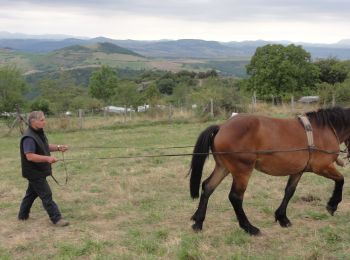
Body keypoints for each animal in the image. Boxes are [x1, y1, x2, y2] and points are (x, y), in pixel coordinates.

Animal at [189, 106, 350, 236]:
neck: (324, 130)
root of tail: (221, 127)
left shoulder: (297, 170)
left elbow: (289, 192)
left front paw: (282, 217)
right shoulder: (322, 167)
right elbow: (341, 179)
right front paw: (332, 205)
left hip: (223, 168)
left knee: (208, 187)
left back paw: (198, 222)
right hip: (242, 171)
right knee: (235, 197)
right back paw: (249, 228)